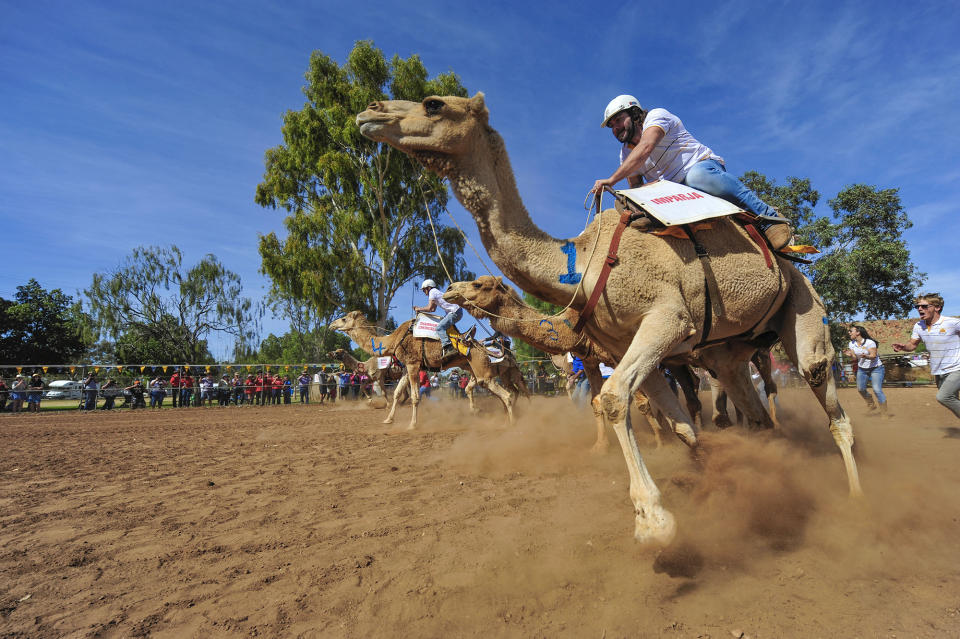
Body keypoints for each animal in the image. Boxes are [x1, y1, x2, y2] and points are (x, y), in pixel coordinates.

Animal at [328, 312, 524, 430]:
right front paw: (388, 419)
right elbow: (397, 393)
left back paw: (512, 423)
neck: (394, 340)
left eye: (344, 318)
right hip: (473, 368)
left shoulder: (413, 364)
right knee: (496, 391)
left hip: (483, 368)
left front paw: (412, 425)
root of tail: (483, 348)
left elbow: (415, 397)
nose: (331, 325)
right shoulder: (406, 368)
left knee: (506, 393)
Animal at [444, 278, 704, 452]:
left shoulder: (618, 355)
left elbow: (641, 402)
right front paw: (600, 447)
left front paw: (661, 444)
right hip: (676, 360)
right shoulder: (589, 360)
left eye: (478, 284)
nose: (448, 290)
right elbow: (596, 403)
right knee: (689, 385)